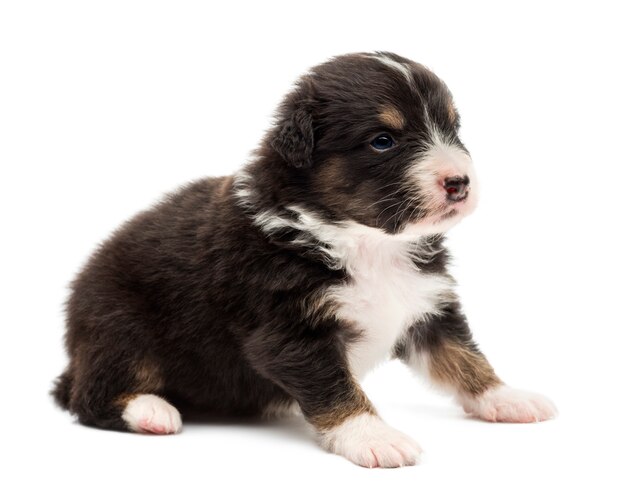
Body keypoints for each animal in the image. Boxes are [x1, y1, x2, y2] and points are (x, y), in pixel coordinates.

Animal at [51, 52, 552, 468]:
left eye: (453, 128)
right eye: (383, 141)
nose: (459, 182)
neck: (368, 243)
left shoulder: (427, 308)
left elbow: (463, 358)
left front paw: (507, 397)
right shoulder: (290, 331)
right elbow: (335, 386)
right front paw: (374, 436)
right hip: (120, 327)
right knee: (85, 396)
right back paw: (151, 410)